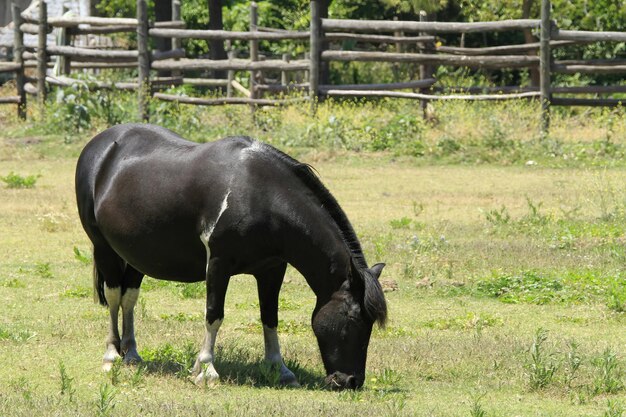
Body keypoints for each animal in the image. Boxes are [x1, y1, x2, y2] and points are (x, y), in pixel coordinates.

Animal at [73, 122, 386, 388]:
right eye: (352, 319)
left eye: (370, 323)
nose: (351, 381)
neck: (259, 194)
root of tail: (100, 146)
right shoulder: (218, 264)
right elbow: (214, 315)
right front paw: (206, 369)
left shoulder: (273, 268)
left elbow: (269, 317)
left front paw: (280, 369)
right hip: (103, 247)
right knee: (114, 296)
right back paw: (112, 355)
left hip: (137, 254)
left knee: (129, 297)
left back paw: (132, 354)